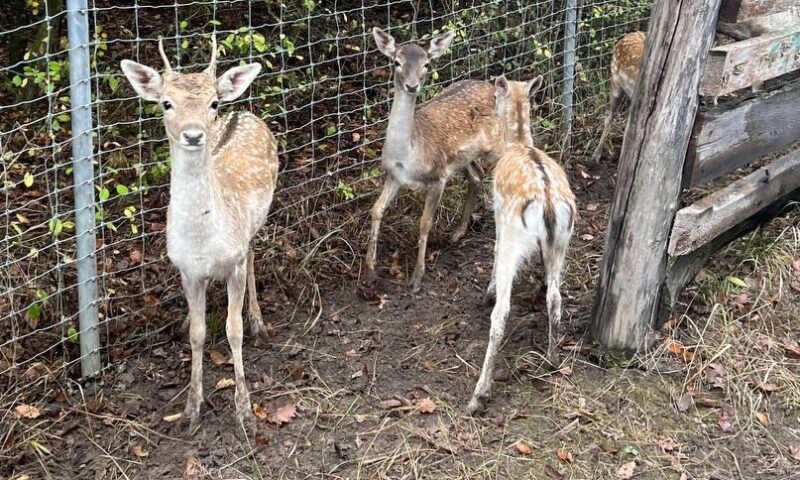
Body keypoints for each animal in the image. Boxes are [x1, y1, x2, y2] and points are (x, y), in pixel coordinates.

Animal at [120, 35, 280, 430]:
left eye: (212, 102)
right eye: (166, 102)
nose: (193, 134)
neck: (203, 243)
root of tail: (243, 112)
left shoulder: (233, 261)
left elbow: (233, 331)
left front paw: (244, 410)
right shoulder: (186, 270)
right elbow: (197, 334)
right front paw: (191, 410)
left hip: (257, 222)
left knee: (253, 252)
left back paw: (258, 320)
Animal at [366, 27, 504, 292]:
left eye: (427, 64)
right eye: (396, 61)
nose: (412, 86)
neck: (408, 153)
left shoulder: (438, 177)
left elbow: (424, 223)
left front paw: (417, 278)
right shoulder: (394, 176)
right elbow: (376, 209)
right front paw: (369, 268)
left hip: (500, 144)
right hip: (463, 157)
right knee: (477, 175)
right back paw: (459, 231)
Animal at [466, 77, 580, 414]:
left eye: (495, 95)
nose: (491, 104)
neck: (517, 144)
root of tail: (548, 202)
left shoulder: (499, 216)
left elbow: (492, 249)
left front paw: (486, 292)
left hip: (515, 238)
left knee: (502, 312)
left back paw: (479, 395)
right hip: (563, 239)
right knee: (556, 297)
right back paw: (553, 356)